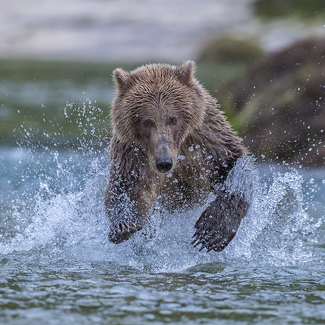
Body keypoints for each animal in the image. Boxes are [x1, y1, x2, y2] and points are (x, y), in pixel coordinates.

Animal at [105, 61, 249, 253]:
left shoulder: (208, 140)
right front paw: (124, 225)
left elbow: (235, 164)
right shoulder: (133, 153)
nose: (164, 162)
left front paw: (212, 231)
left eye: (173, 119)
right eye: (146, 122)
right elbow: (125, 187)